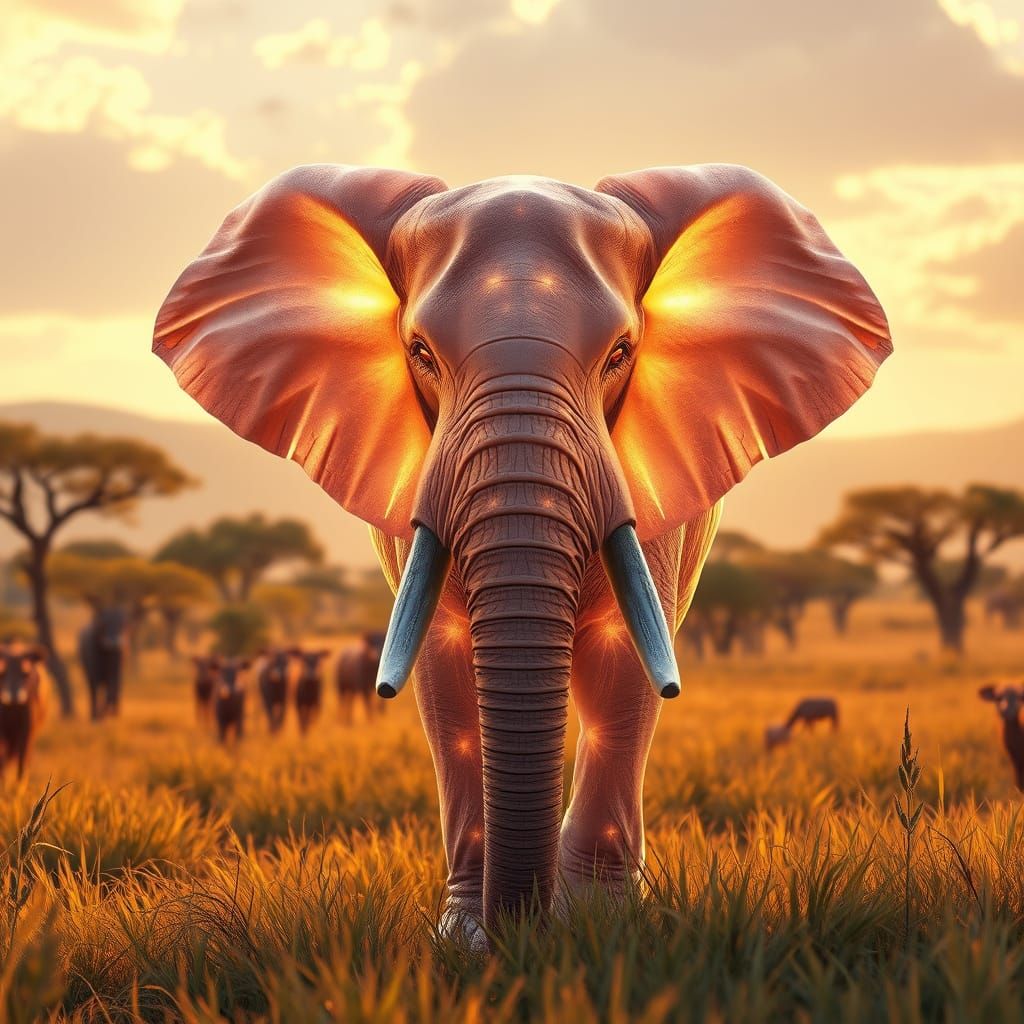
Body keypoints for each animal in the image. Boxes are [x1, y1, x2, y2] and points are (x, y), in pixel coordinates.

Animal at [153, 162, 891, 942]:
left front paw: (596, 925)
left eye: (619, 353)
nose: (524, 927)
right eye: (421, 353)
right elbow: (446, 673)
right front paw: (468, 939)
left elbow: (625, 665)